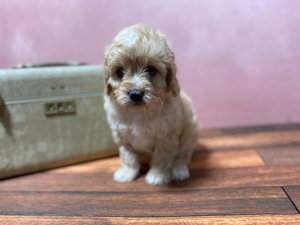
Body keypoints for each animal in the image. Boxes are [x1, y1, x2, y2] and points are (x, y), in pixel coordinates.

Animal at [103, 24, 199, 185]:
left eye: (151, 70)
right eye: (120, 72)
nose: (135, 94)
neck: (140, 112)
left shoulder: (166, 135)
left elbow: (162, 157)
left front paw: (157, 175)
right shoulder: (122, 136)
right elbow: (128, 157)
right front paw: (127, 173)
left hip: (190, 134)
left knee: (182, 156)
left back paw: (179, 170)